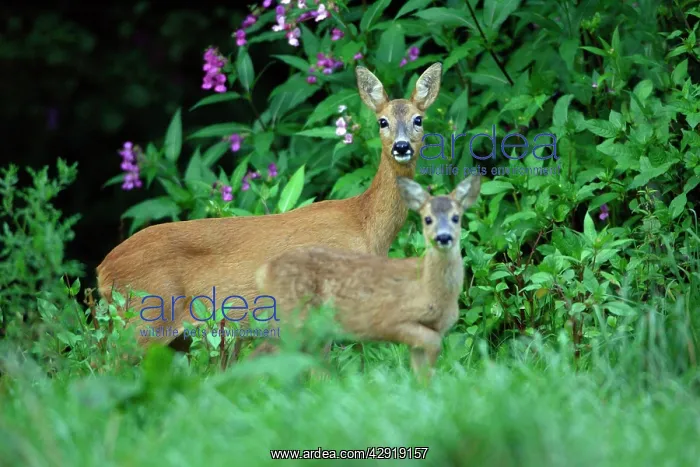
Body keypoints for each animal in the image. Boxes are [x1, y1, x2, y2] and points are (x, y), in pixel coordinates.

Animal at [96, 62, 444, 360]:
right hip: (145, 316)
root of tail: (103, 269)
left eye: (418, 119)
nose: (401, 147)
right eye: (383, 121)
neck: (365, 224)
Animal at [254, 175, 481, 380]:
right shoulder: (390, 319)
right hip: (294, 319)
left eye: (456, 217)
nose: (443, 237)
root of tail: (265, 272)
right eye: (428, 219)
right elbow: (432, 346)